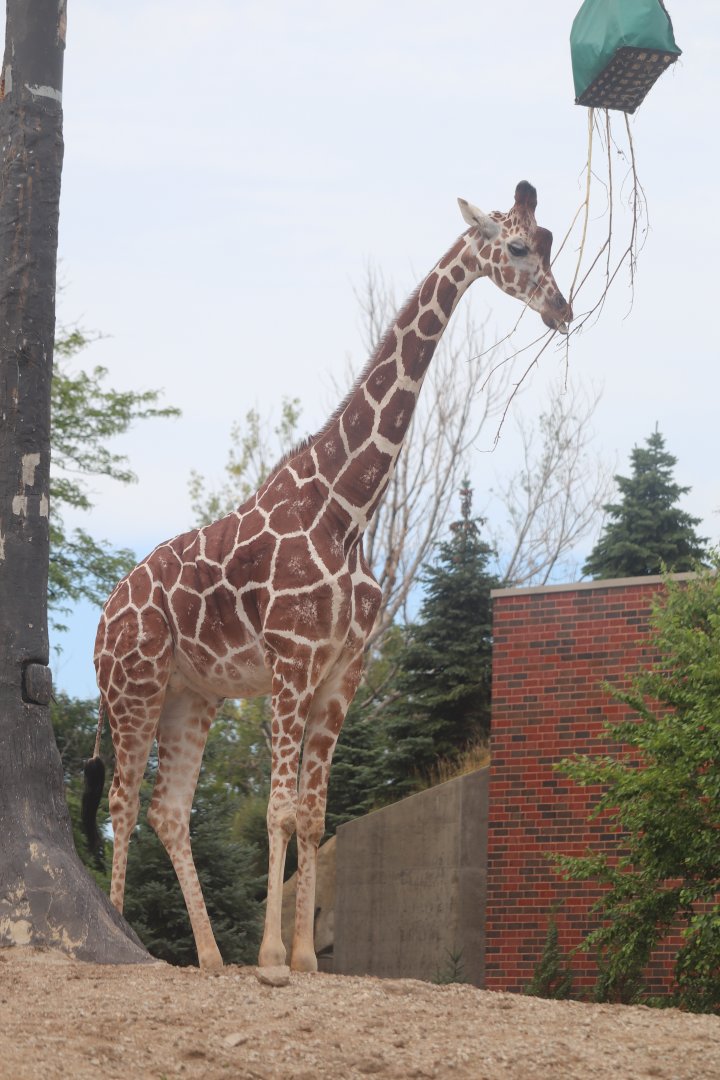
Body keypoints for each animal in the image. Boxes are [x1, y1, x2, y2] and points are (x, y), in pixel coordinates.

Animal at [87, 180, 572, 974]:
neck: (347, 509)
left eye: (552, 239)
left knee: (167, 810)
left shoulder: (344, 668)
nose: (563, 308)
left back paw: (211, 958)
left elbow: (315, 815)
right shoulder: (292, 660)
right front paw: (272, 960)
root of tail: (103, 616)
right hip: (134, 686)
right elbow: (280, 810)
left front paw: (306, 960)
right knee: (122, 806)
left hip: (193, 695)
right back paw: (129, 940)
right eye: (518, 246)